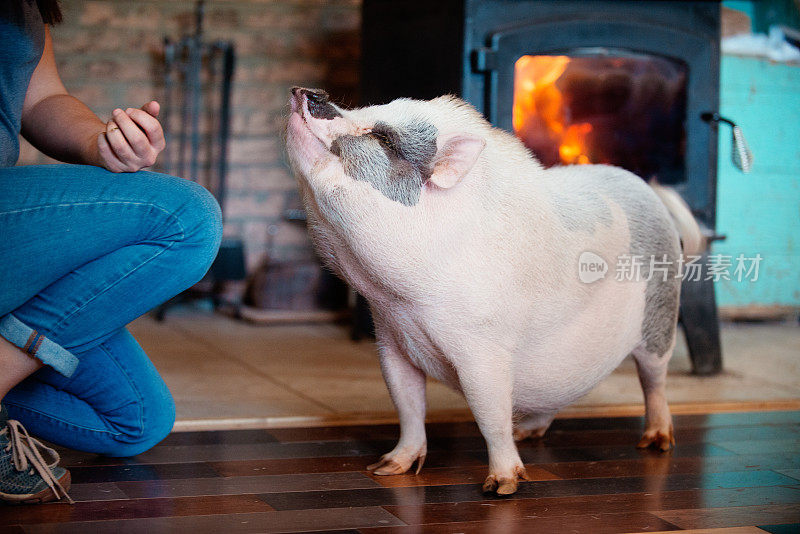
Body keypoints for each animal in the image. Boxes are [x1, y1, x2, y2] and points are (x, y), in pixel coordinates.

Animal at [284, 87, 704, 498]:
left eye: (384, 139)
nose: (309, 91)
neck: (403, 306)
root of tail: (649, 192)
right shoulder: (391, 341)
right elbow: (408, 406)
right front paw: (386, 469)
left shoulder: (485, 350)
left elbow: (490, 416)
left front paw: (501, 486)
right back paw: (529, 433)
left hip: (661, 314)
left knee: (654, 380)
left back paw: (656, 442)